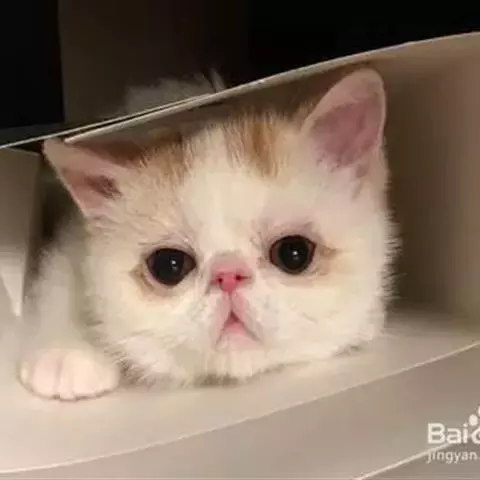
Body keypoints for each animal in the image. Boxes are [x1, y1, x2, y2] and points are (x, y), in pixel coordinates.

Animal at [18, 68, 396, 401]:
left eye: (294, 253)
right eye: (168, 266)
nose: (227, 275)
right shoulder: (70, 239)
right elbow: (55, 280)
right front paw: (65, 354)